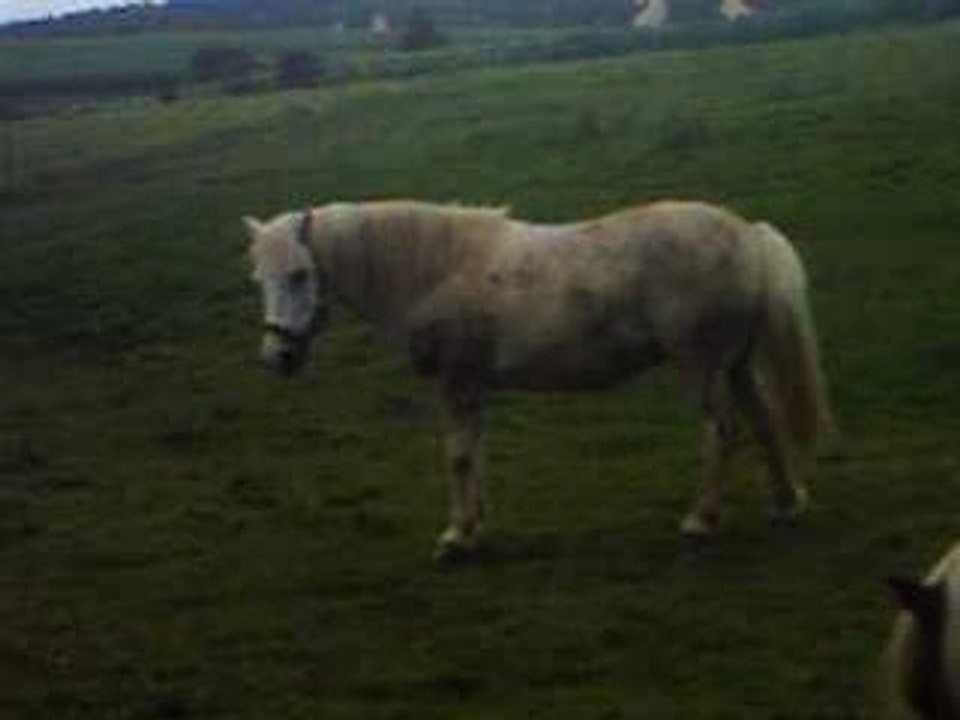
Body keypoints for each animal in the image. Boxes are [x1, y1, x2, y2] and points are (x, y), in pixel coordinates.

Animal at [244, 199, 833, 561]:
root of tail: (748, 235)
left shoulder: (455, 382)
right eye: (259, 277)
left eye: (299, 274)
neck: (435, 270)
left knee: (724, 432)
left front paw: (455, 538)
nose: (278, 355)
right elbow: (474, 454)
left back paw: (701, 520)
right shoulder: (472, 386)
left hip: (702, 366)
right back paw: (787, 504)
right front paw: (475, 527)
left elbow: (458, 457)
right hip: (735, 364)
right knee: (763, 422)